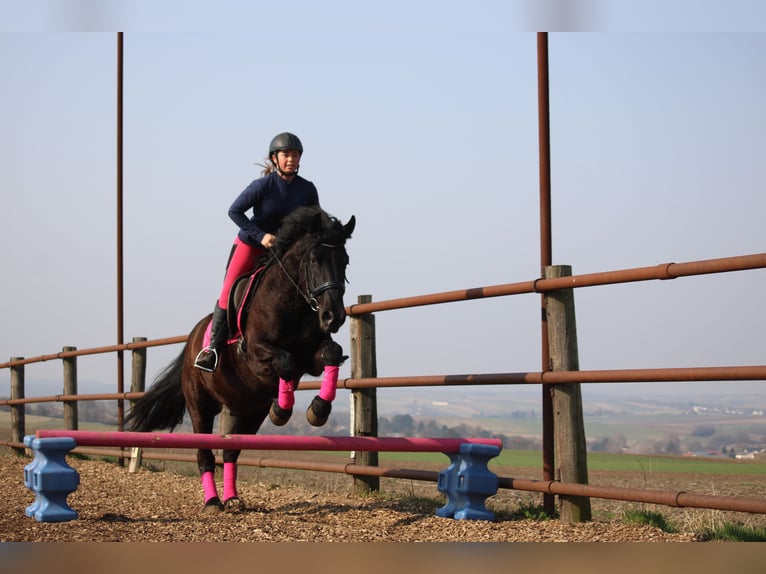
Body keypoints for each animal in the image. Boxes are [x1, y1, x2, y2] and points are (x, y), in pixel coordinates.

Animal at [124, 205, 355, 512]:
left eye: (345, 261)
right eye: (315, 259)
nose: (334, 317)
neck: (293, 302)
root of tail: (191, 339)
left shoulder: (313, 357)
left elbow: (328, 354)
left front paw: (317, 410)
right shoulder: (256, 354)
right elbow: (285, 362)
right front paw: (281, 410)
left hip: (248, 409)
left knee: (231, 451)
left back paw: (232, 497)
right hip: (200, 406)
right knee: (205, 454)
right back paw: (212, 501)